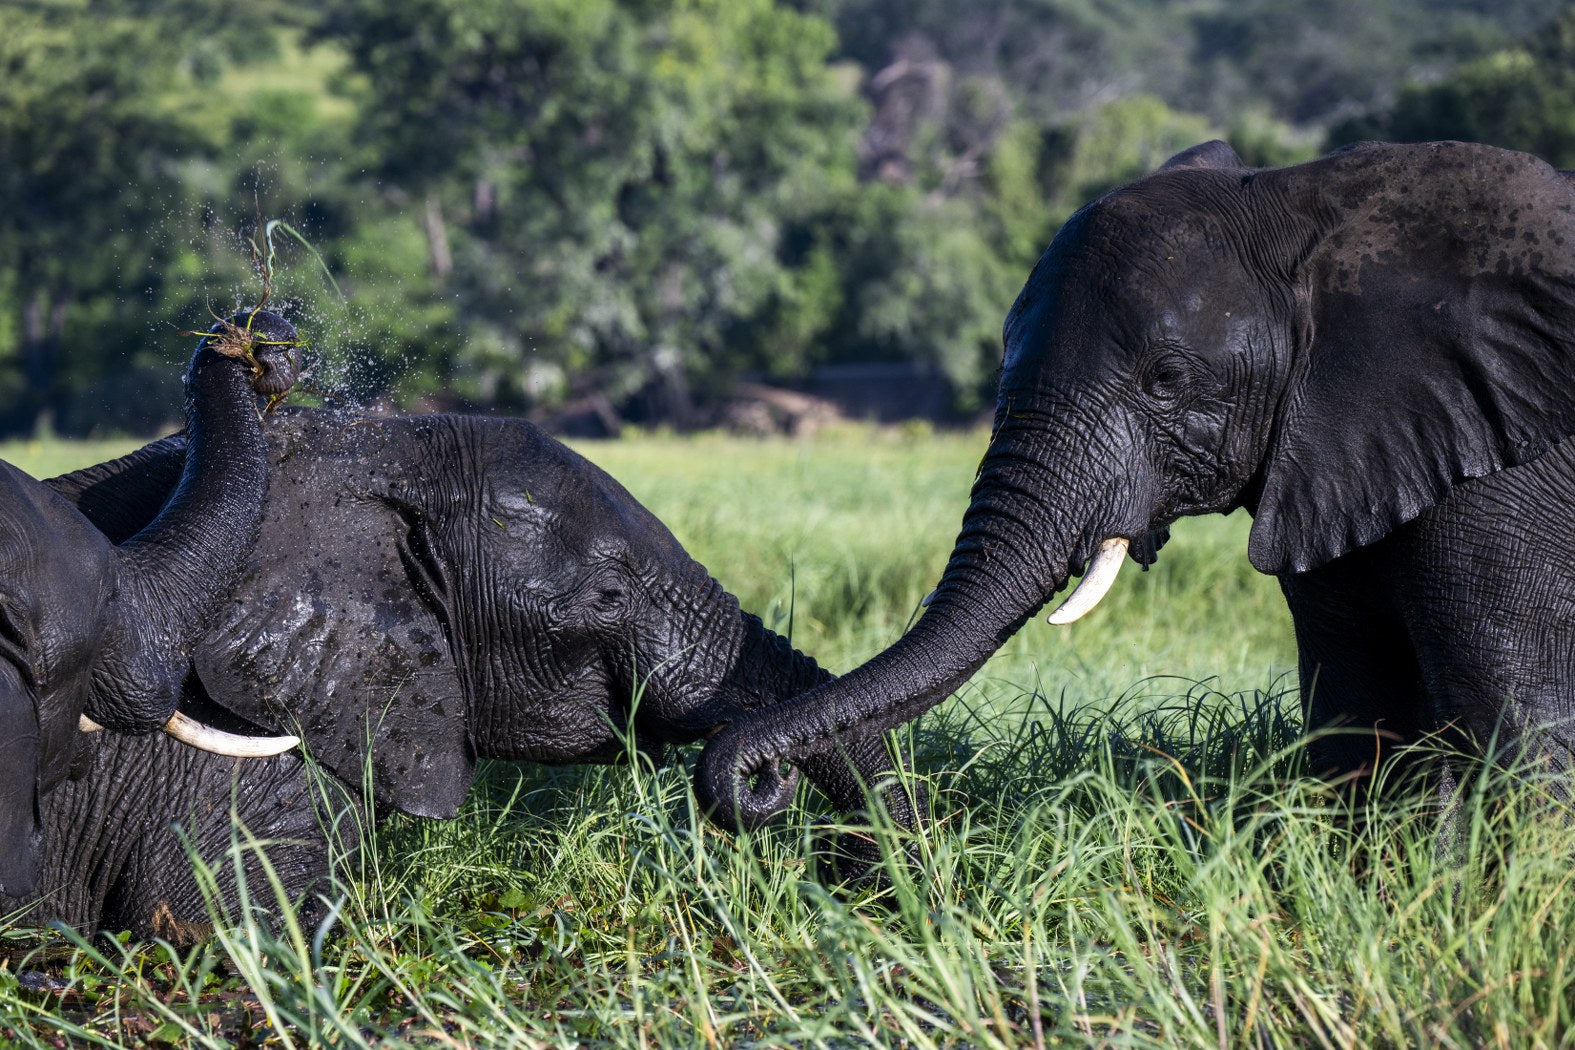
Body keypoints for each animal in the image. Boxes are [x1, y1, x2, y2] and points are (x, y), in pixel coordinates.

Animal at [696, 138, 1575, 831]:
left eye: (1166, 379)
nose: (759, 782)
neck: (1308, 211)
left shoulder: (1499, 469)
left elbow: (1516, 721)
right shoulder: (1337, 455)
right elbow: (1357, 708)